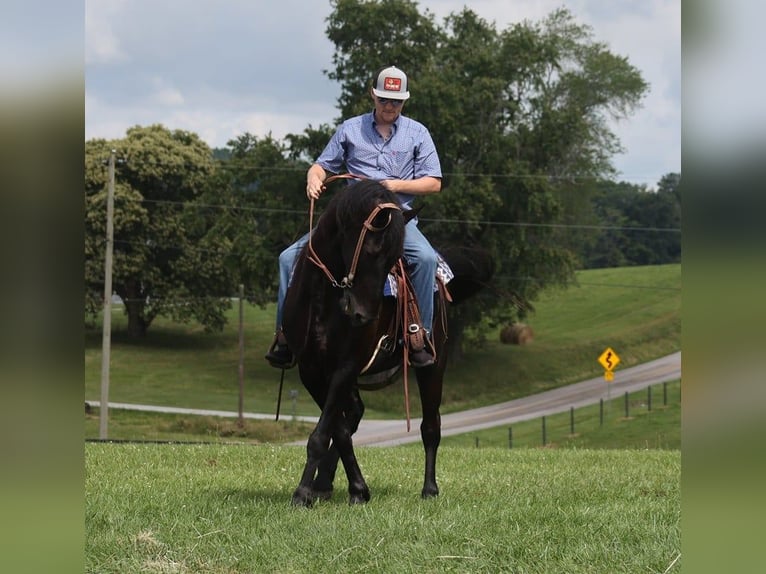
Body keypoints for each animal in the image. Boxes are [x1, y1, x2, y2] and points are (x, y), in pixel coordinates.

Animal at [282, 180, 492, 508]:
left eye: (394, 259)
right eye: (370, 250)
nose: (363, 315)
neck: (323, 301)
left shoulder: (346, 366)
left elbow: (323, 433)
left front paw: (303, 493)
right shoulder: (312, 371)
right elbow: (337, 430)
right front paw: (352, 488)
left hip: (434, 367)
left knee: (430, 427)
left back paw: (429, 489)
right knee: (354, 415)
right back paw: (325, 484)